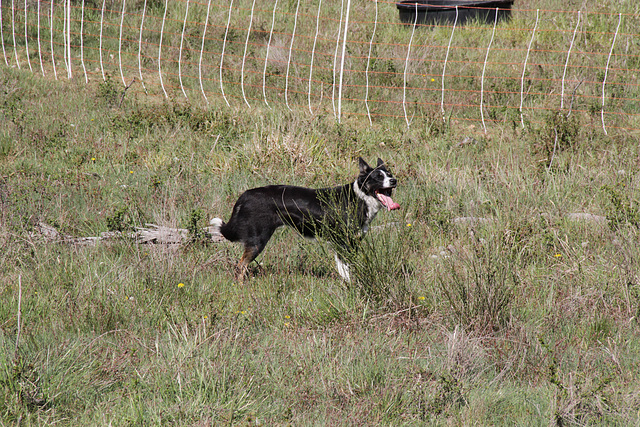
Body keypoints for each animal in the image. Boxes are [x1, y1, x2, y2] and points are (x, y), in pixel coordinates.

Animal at [211, 159, 400, 282]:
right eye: (377, 177)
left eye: (389, 174)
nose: (394, 180)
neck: (359, 198)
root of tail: (245, 195)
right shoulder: (342, 243)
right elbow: (345, 271)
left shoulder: (353, 242)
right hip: (258, 240)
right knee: (240, 266)